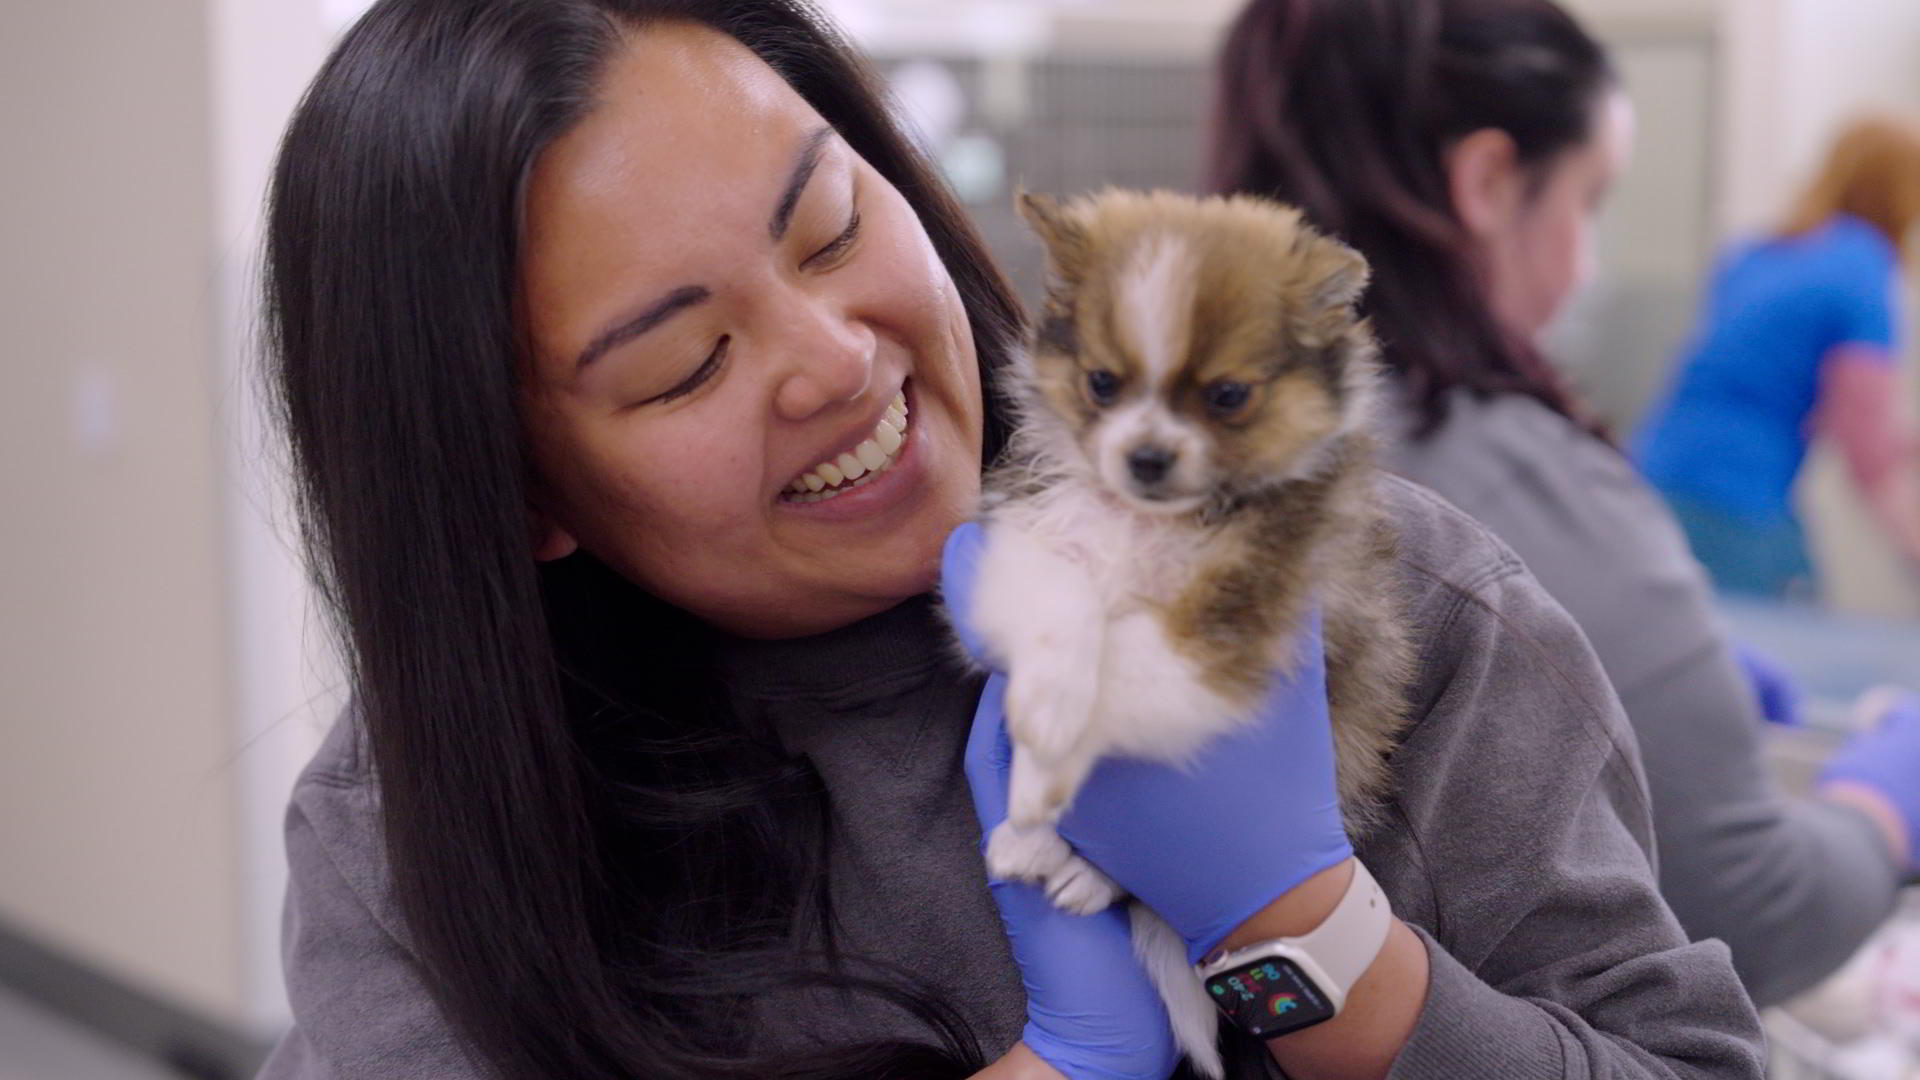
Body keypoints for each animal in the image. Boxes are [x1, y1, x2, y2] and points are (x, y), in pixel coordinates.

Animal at [975, 189, 1413, 1068]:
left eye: (1228, 397)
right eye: (1102, 382)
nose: (1145, 458)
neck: (1158, 521)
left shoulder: (1241, 612)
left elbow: (1136, 670)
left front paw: (1058, 771)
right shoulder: (1041, 528)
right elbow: (1063, 608)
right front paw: (1044, 732)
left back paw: (1086, 870)